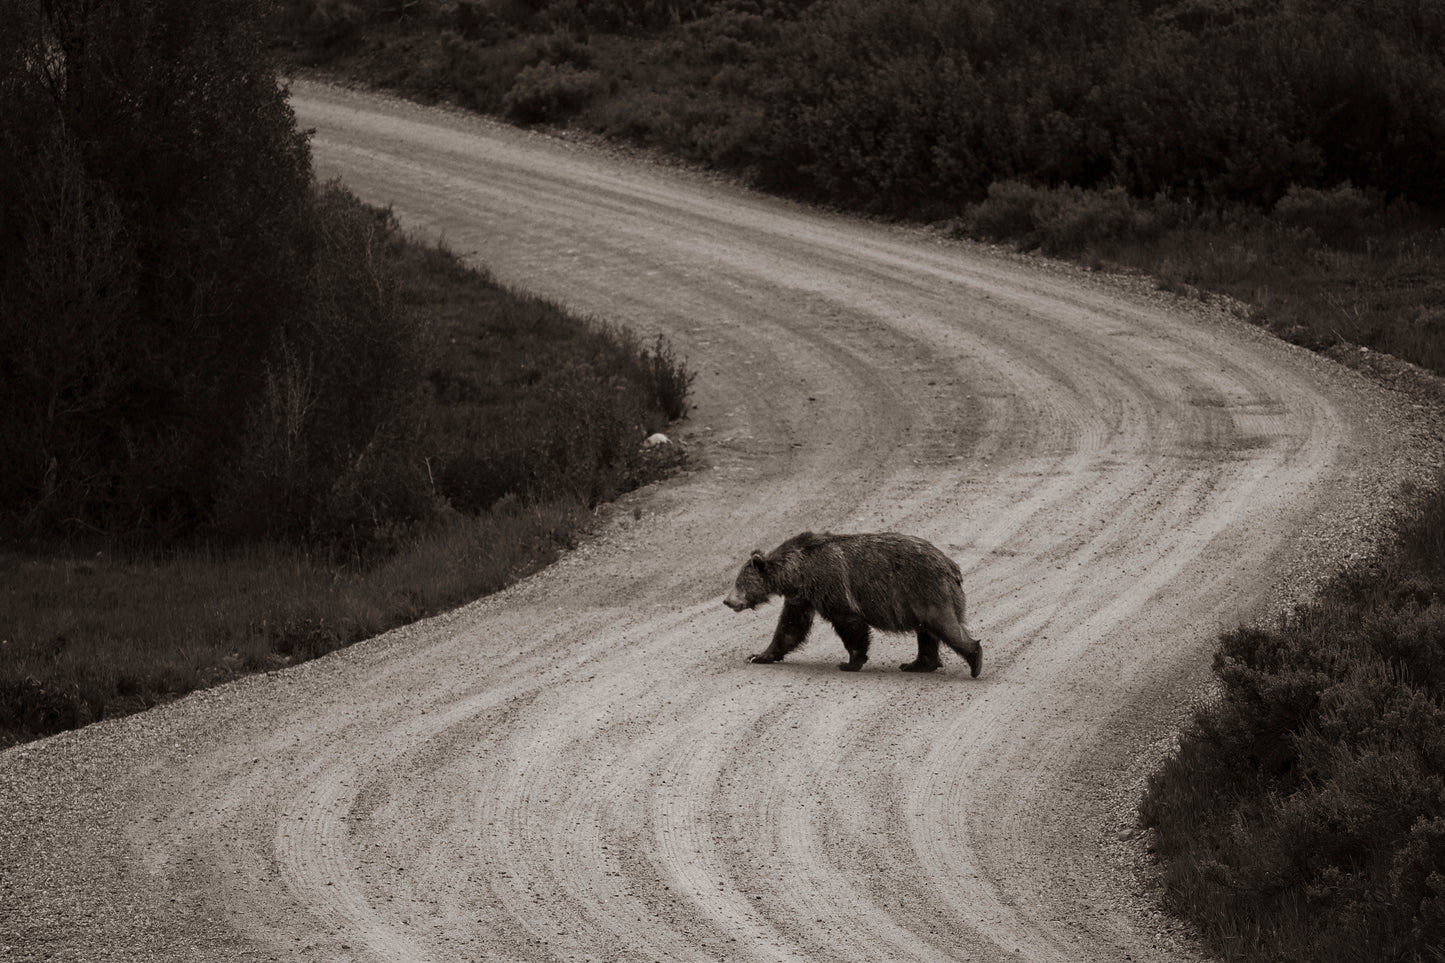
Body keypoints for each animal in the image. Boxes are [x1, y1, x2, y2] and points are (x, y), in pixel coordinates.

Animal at [722, 532, 982, 673]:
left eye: (740, 582)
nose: (727, 601)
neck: (798, 572)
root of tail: (952, 567)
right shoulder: (802, 597)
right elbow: (790, 627)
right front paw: (759, 655)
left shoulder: (831, 586)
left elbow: (849, 623)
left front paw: (850, 662)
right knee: (927, 632)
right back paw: (917, 664)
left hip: (925, 590)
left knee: (942, 624)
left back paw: (975, 660)